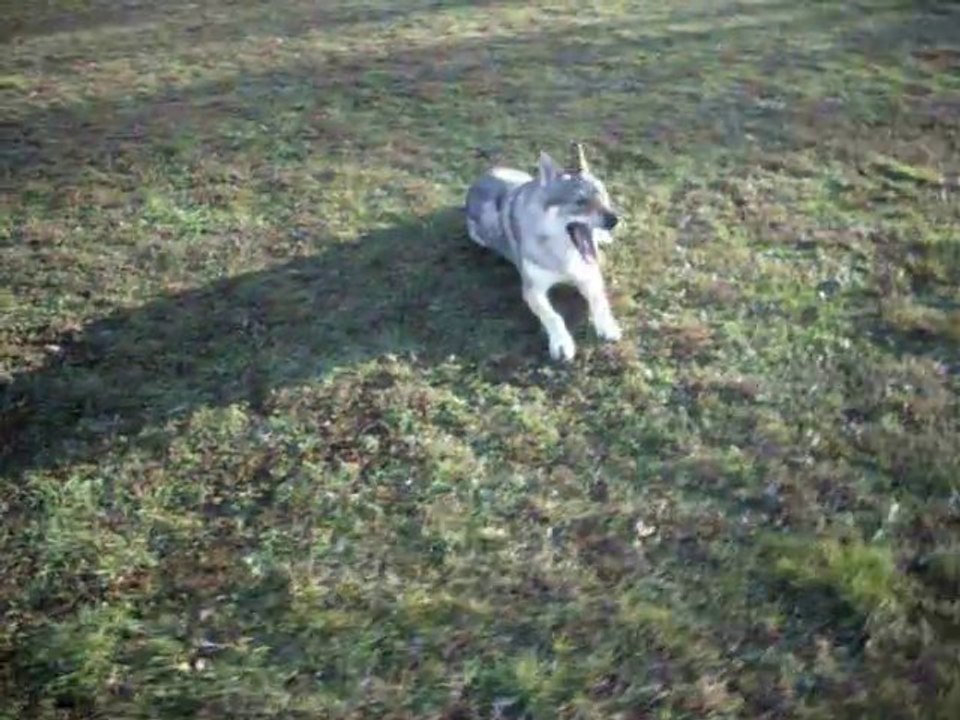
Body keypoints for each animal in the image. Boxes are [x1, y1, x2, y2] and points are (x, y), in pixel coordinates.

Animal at [464, 143, 622, 361]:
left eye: (603, 196)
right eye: (580, 201)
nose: (615, 220)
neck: (563, 255)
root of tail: (488, 172)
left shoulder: (589, 275)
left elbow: (600, 301)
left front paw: (607, 326)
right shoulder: (532, 290)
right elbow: (553, 316)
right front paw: (562, 342)